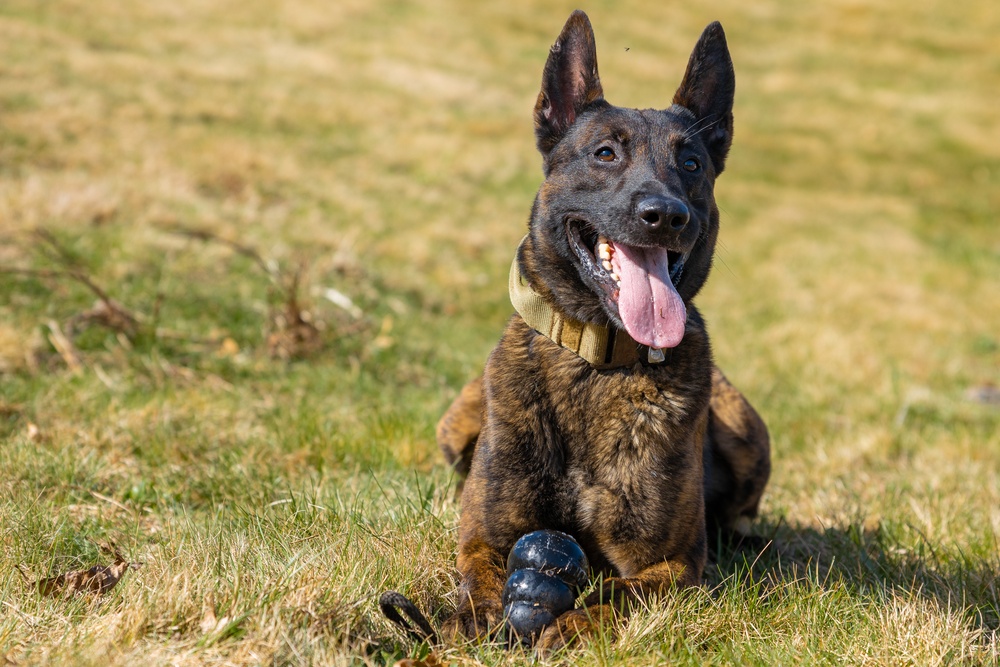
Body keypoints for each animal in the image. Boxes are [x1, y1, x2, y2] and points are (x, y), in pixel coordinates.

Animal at [434, 10, 768, 652]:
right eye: (606, 153)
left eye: (691, 165)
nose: (665, 216)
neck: (595, 361)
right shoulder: (482, 537)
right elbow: (480, 574)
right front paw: (472, 619)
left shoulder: (673, 566)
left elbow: (620, 591)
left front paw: (568, 625)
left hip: (747, 432)